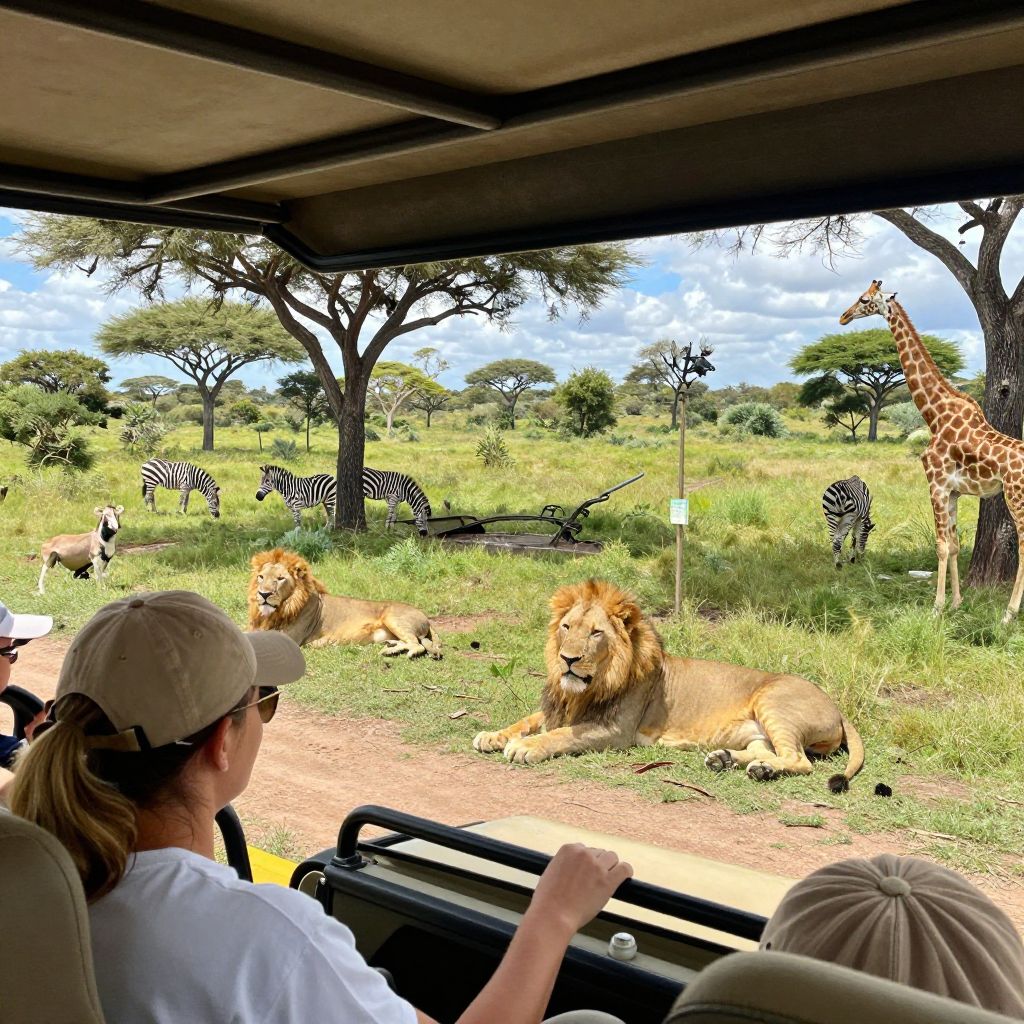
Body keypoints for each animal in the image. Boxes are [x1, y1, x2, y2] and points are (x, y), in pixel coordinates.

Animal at [247, 548, 441, 658]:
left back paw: (398, 652)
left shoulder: (291, 638)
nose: (263, 594)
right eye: (261, 577)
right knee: (410, 641)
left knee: (417, 645)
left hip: (393, 617)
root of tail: (425, 616)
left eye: (280, 579)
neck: (281, 608)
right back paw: (390, 648)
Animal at [473, 579, 863, 791]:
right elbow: (528, 719)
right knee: (770, 752)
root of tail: (837, 706)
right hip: (756, 732)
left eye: (596, 633)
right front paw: (492, 736)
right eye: (567, 627)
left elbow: (561, 735)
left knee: (800, 760)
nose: (568, 659)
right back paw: (730, 761)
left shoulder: (616, 730)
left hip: (774, 702)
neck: (595, 682)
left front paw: (526, 747)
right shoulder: (563, 707)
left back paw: (756, 769)